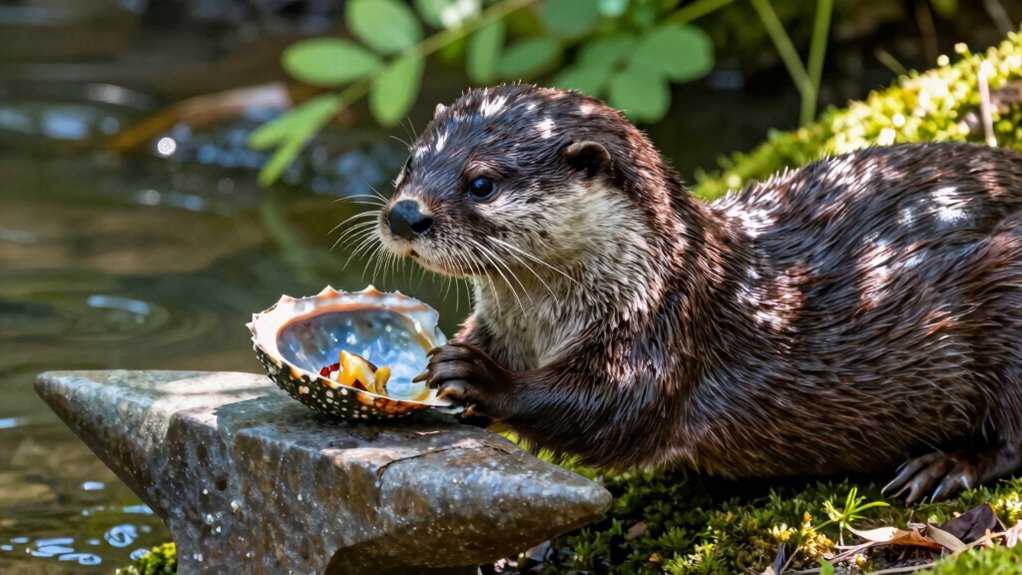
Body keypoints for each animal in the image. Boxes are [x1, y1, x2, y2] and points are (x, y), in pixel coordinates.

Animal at [376, 84, 1022, 503]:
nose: (405, 215)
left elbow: (611, 412)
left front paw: (480, 376)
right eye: (409, 162)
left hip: (1006, 289)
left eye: (481, 183)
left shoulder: (663, 331)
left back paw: (944, 467)